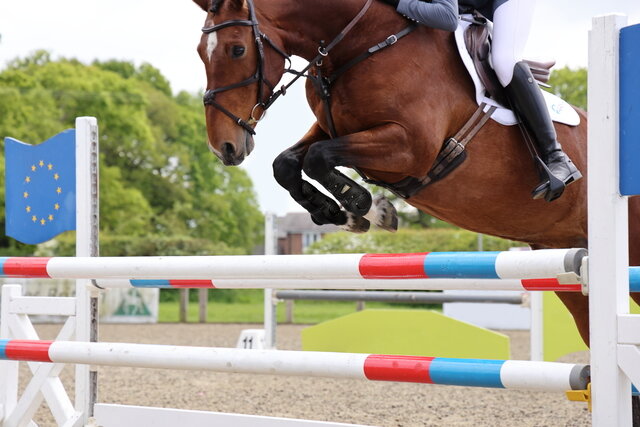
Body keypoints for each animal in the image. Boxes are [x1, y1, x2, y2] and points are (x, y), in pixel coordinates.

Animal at [189, 0, 640, 348]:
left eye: (235, 49)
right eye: (200, 52)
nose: (223, 146)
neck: (359, 43)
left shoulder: (410, 147)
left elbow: (317, 158)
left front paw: (369, 208)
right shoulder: (334, 127)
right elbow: (287, 163)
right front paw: (339, 213)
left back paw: (558, 170)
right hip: (568, 256)